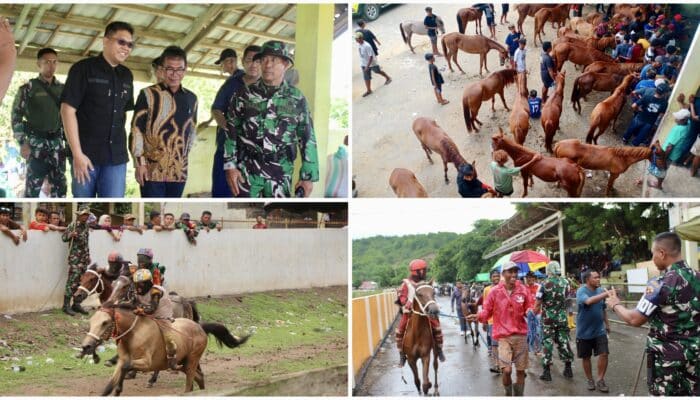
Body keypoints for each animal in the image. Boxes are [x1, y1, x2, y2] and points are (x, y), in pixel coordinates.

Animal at [78, 304, 249, 396]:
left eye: (105, 322)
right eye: (92, 321)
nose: (86, 346)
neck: (133, 335)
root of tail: (200, 327)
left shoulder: (146, 363)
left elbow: (127, 368)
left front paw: (119, 389)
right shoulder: (121, 362)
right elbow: (110, 384)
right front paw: (115, 388)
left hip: (192, 360)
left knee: (190, 383)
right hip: (183, 363)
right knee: (199, 377)